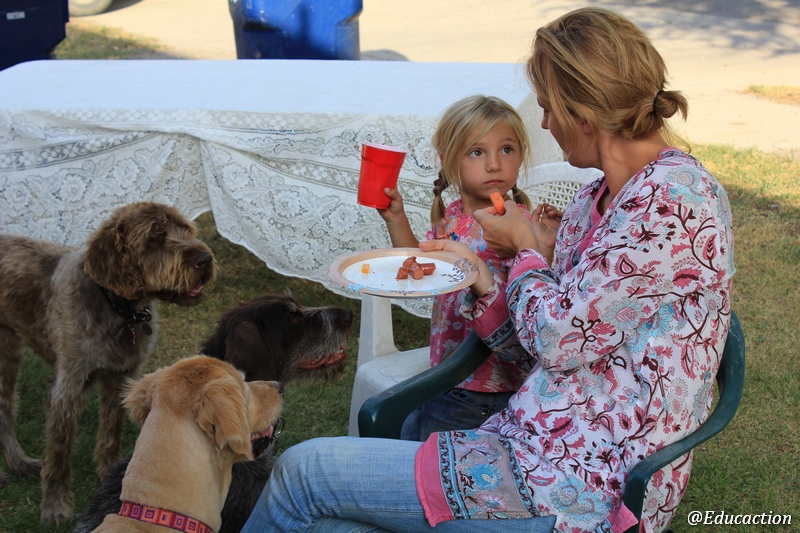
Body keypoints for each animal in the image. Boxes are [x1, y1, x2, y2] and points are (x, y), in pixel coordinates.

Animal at [0, 202, 216, 524]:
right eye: (153, 239)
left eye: (185, 230)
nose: (205, 259)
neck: (118, 310)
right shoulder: (67, 388)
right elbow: (59, 451)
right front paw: (55, 505)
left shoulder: (120, 377)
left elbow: (112, 431)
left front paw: (112, 475)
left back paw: (18, 462)